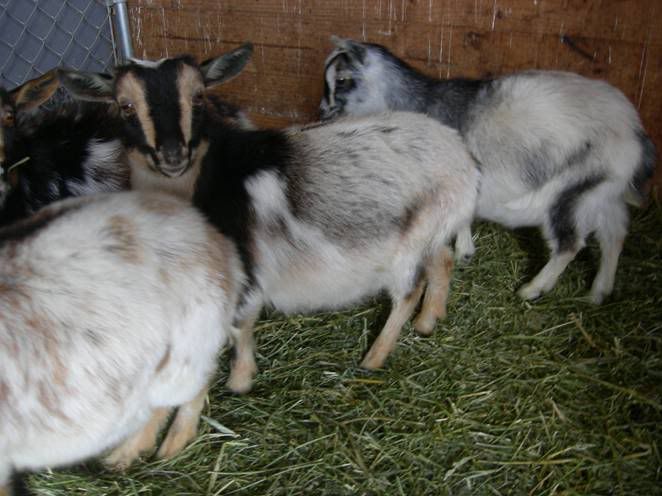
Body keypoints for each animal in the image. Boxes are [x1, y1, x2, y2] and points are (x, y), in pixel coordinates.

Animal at [59, 44, 480, 393]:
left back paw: (372, 359)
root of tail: (462, 158)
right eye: (125, 106)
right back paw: (429, 321)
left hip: (409, 243)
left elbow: (239, 324)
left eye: (198, 97)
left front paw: (239, 382)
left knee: (409, 289)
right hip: (432, 226)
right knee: (441, 260)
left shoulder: (243, 265)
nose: (173, 156)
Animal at [320, 37, 657, 304]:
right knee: (615, 234)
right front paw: (466, 251)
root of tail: (634, 131)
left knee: (570, 243)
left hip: (571, 192)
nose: (323, 113)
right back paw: (599, 291)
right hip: (603, 190)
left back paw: (533, 289)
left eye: (342, 80)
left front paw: (462, 249)